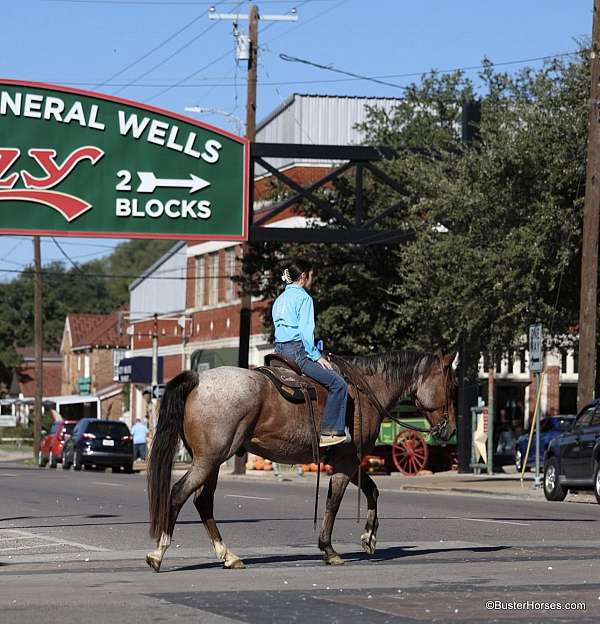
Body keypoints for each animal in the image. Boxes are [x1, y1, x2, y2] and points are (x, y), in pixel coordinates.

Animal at [144, 352, 454, 572]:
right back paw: (158, 552)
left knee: (202, 501)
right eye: (450, 385)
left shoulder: (347, 462)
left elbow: (373, 490)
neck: (366, 392)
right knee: (178, 494)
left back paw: (228, 556)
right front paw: (329, 549)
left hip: (213, 461)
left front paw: (369, 538)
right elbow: (334, 503)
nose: (450, 430)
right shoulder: (346, 462)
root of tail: (198, 380)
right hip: (209, 460)